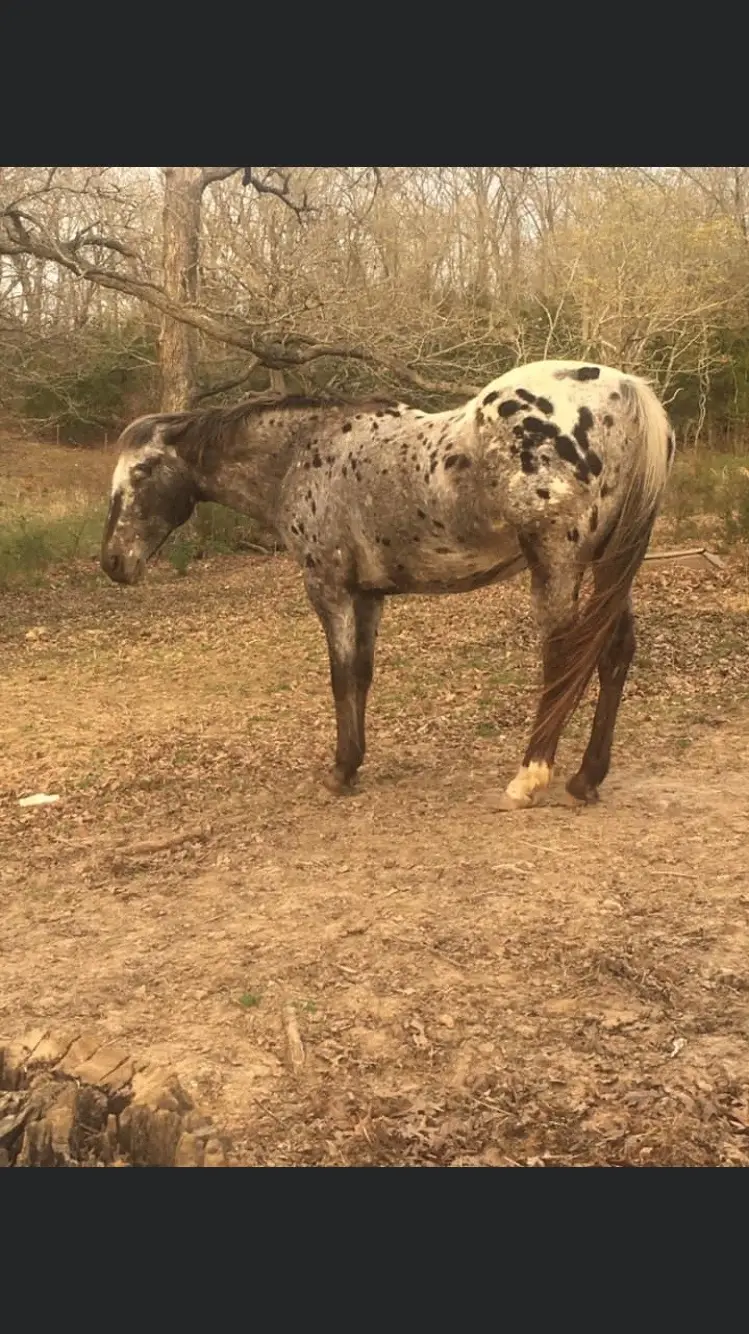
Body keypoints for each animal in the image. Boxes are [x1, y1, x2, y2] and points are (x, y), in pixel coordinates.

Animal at [99, 360, 672, 805]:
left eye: (143, 471)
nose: (112, 562)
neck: (301, 453)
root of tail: (621, 389)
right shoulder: (368, 596)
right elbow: (361, 675)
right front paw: (354, 763)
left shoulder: (328, 589)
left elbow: (339, 676)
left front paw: (339, 770)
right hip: (605, 568)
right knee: (614, 652)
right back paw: (586, 778)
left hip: (558, 565)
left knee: (563, 656)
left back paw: (529, 776)